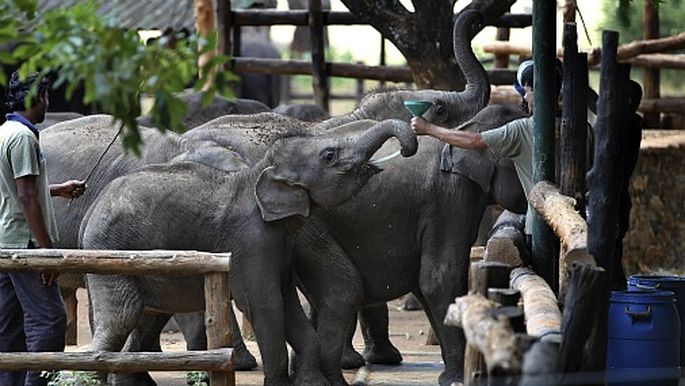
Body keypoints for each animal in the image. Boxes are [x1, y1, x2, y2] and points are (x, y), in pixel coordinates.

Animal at [77, 118, 414, 386]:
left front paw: (310, 383)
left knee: (146, 317)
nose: (407, 147)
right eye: (329, 155)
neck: (259, 171)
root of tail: (90, 211)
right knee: (123, 316)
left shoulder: (279, 246)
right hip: (111, 254)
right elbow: (265, 304)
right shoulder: (252, 241)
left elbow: (287, 303)